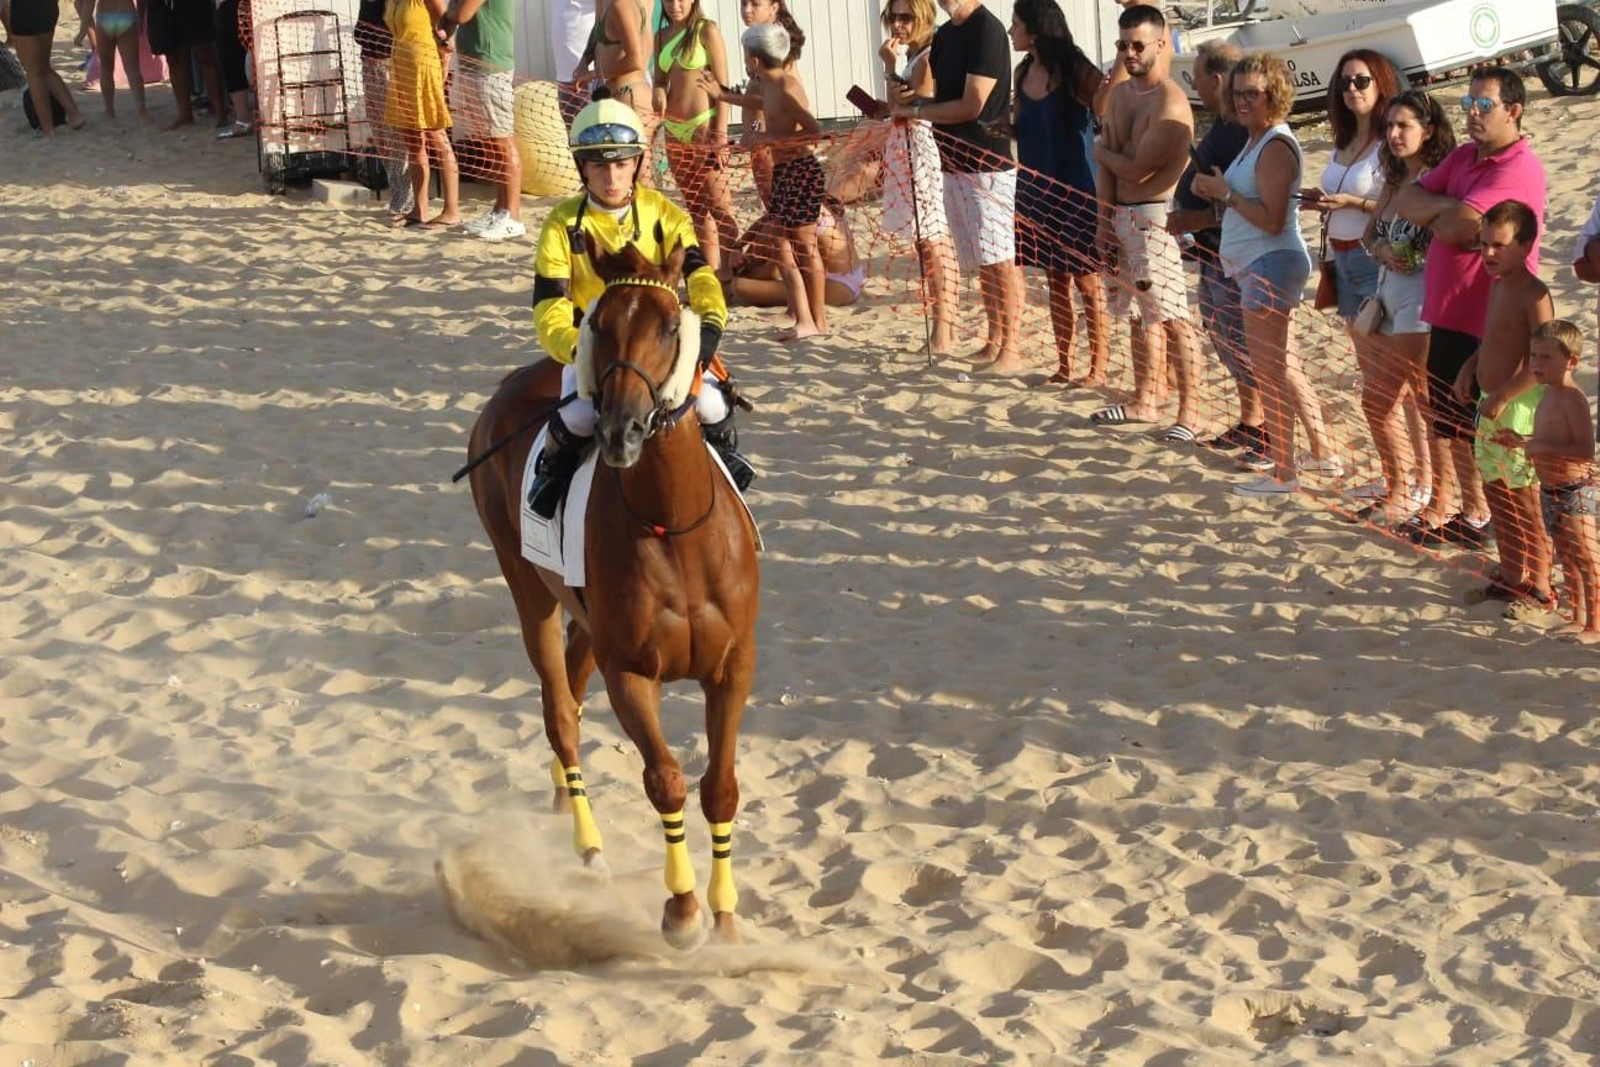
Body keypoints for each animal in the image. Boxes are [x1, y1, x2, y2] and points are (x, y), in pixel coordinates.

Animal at [466, 239, 761, 948]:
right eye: (598, 324)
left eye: (669, 324)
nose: (621, 431)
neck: (674, 526)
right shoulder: (630, 669)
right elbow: (667, 779)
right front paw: (682, 910)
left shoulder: (732, 667)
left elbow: (721, 788)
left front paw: (726, 914)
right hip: (528, 588)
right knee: (560, 714)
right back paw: (589, 845)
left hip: (583, 617)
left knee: (572, 694)